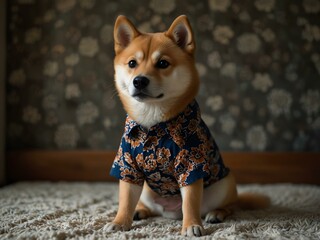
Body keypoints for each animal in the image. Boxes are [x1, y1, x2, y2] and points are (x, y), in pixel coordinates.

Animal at [105, 15, 270, 238]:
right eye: (132, 63)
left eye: (163, 63)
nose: (139, 80)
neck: (153, 122)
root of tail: (172, 212)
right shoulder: (127, 165)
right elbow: (125, 200)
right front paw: (120, 221)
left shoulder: (190, 165)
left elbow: (190, 203)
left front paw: (191, 225)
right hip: (148, 191)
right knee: (148, 205)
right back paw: (140, 210)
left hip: (224, 184)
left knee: (231, 206)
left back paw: (217, 213)